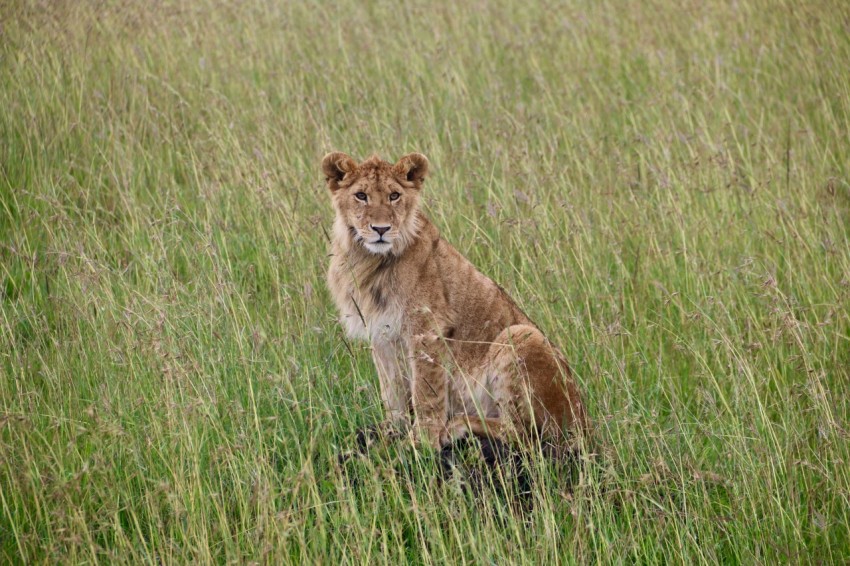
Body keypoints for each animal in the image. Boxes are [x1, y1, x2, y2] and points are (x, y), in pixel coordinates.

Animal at [322, 152, 588, 458]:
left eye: (394, 196)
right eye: (361, 195)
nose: (381, 229)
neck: (369, 260)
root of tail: (585, 424)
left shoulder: (427, 330)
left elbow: (426, 394)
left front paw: (421, 443)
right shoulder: (381, 335)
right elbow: (392, 392)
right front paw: (391, 433)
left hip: (521, 334)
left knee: (522, 433)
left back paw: (456, 426)